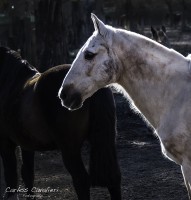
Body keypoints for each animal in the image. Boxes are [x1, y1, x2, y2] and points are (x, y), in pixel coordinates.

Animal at [0, 47, 121, 200]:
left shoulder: (6, 144)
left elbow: (11, 177)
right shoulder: (26, 144)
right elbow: (27, 174)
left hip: (69, 149)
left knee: (81, 180)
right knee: (113, 179)